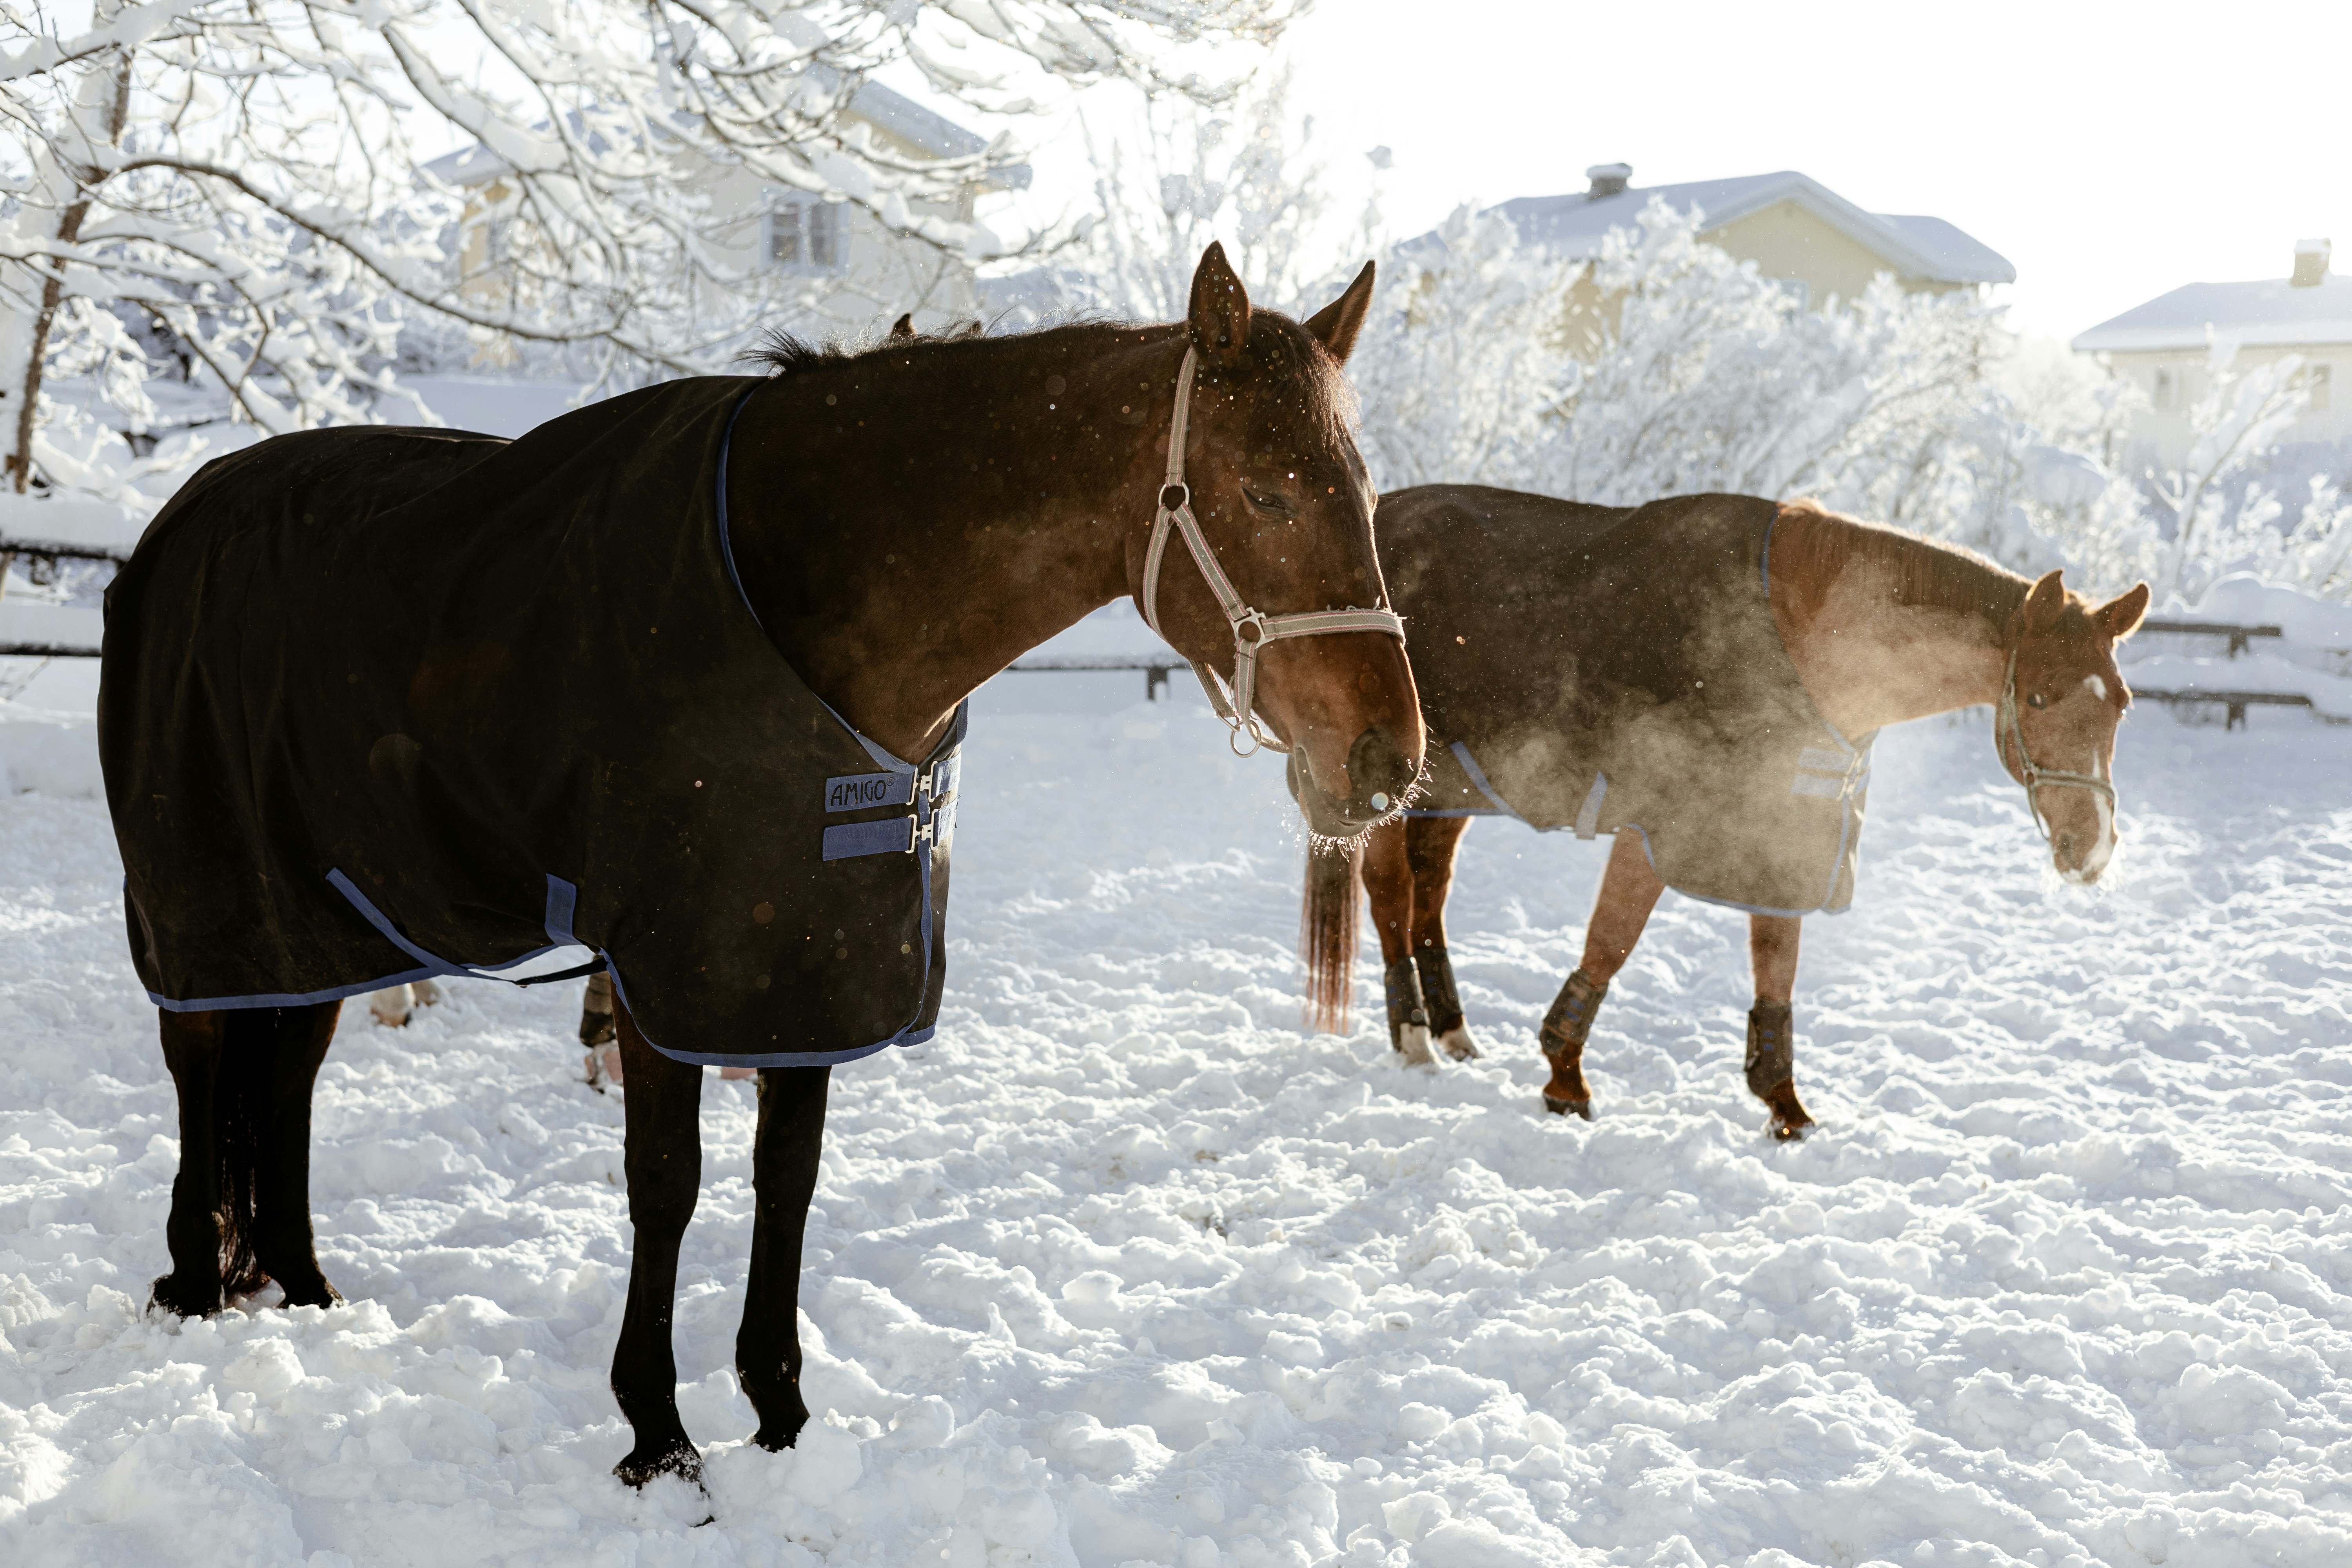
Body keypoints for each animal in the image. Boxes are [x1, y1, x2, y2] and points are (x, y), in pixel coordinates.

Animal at [100, 244, 1423, 1490]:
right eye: (1264, 490)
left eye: (1367, 496)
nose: (1387, 758)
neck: (802, 592)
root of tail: (178, 519)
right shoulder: (666, 966)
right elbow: (668, 1182)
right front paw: (657, 1432)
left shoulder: (810, 955)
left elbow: (787, 1176)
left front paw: (779, 1410)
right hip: (203, 890)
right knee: (201, 1055)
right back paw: (196, 1280)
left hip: (327, 911)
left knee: (289, 1071)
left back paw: (302, 1280)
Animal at [1298, 486, 2148, 1140]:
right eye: (2038, 697)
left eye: (2121, 703)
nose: (2091, 848)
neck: (1809, 645)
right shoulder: (1659, 826)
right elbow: (1610, 944)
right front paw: (1566, 1081)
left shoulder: (1784, 828)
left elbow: (1777, 969)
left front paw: (1786, 1107)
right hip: (1397, 792)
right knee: (1392, 895)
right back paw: (1414, 1035)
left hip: (1456, 792)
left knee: (1430, 892)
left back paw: (1452, 1029)